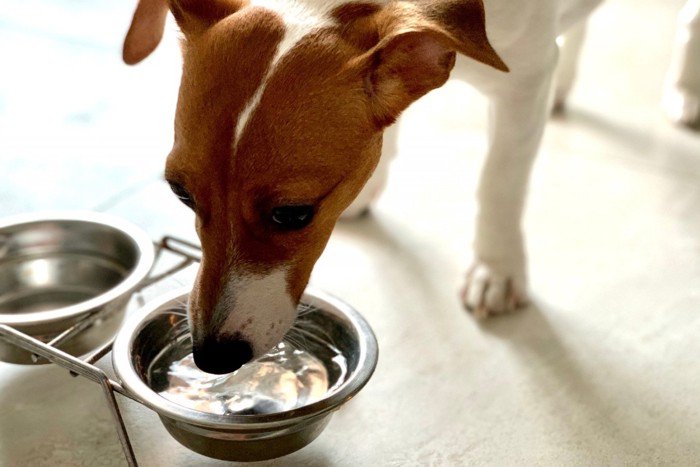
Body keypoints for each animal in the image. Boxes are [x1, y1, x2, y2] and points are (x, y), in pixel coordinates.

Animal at [121, 0, 600, 374]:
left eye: (293, 213)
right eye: (180, 193)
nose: (210, 357)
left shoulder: (524, 81)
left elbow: (500, 182)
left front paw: (496, 268)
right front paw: (370, 183)